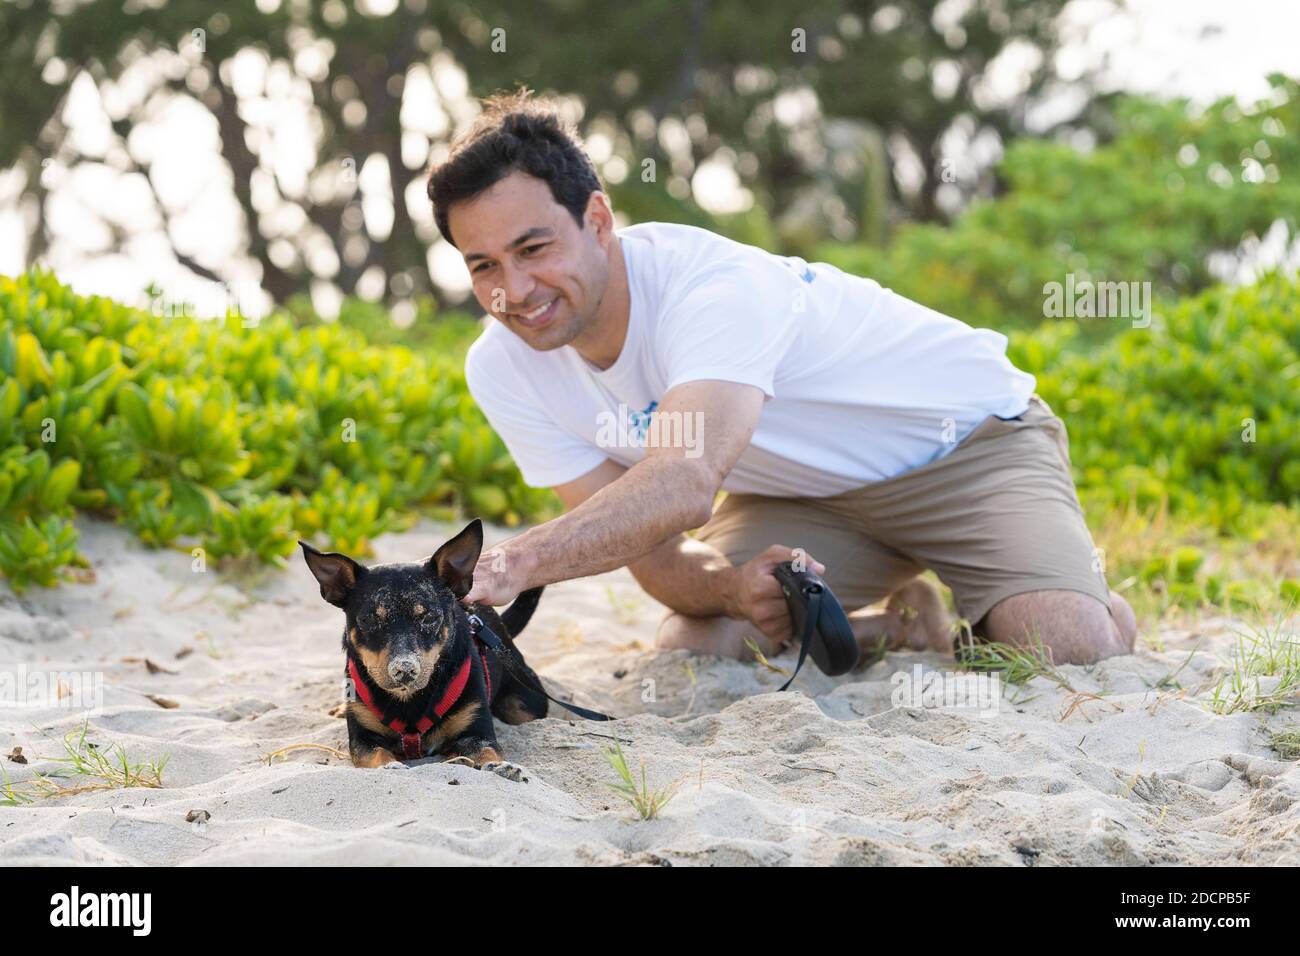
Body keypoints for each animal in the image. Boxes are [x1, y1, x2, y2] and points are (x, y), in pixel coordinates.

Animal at [297, 520, 546, 780]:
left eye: (429, 617)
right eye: (368, 620)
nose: (404, 670)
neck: (408, 701)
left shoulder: (477, 731)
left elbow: (487, 750)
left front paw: (500, 767)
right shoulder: (363, 739)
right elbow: (376, 754)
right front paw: (390, 766)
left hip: (524, 702)